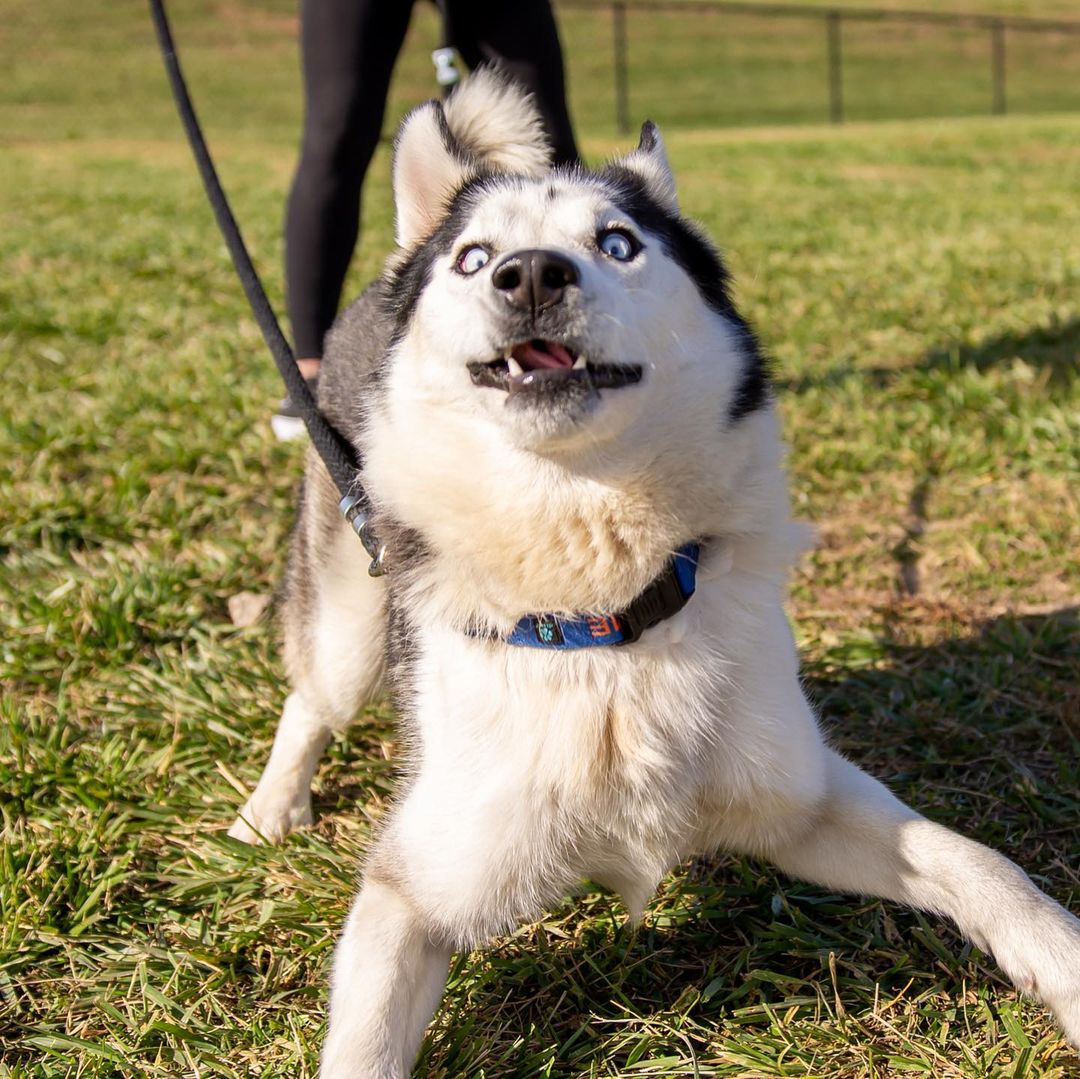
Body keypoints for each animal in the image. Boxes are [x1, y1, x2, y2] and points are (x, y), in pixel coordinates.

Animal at [227, 71, 1080, 1075]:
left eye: (618, 242)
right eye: (475, 259)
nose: (531, 273)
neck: (597, 614)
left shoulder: (807, 801)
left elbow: (975, 860)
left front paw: (1060, 961)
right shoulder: (414, 889)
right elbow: (362, 1045)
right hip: (352, 614)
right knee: (312, 698)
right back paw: (268, 809)